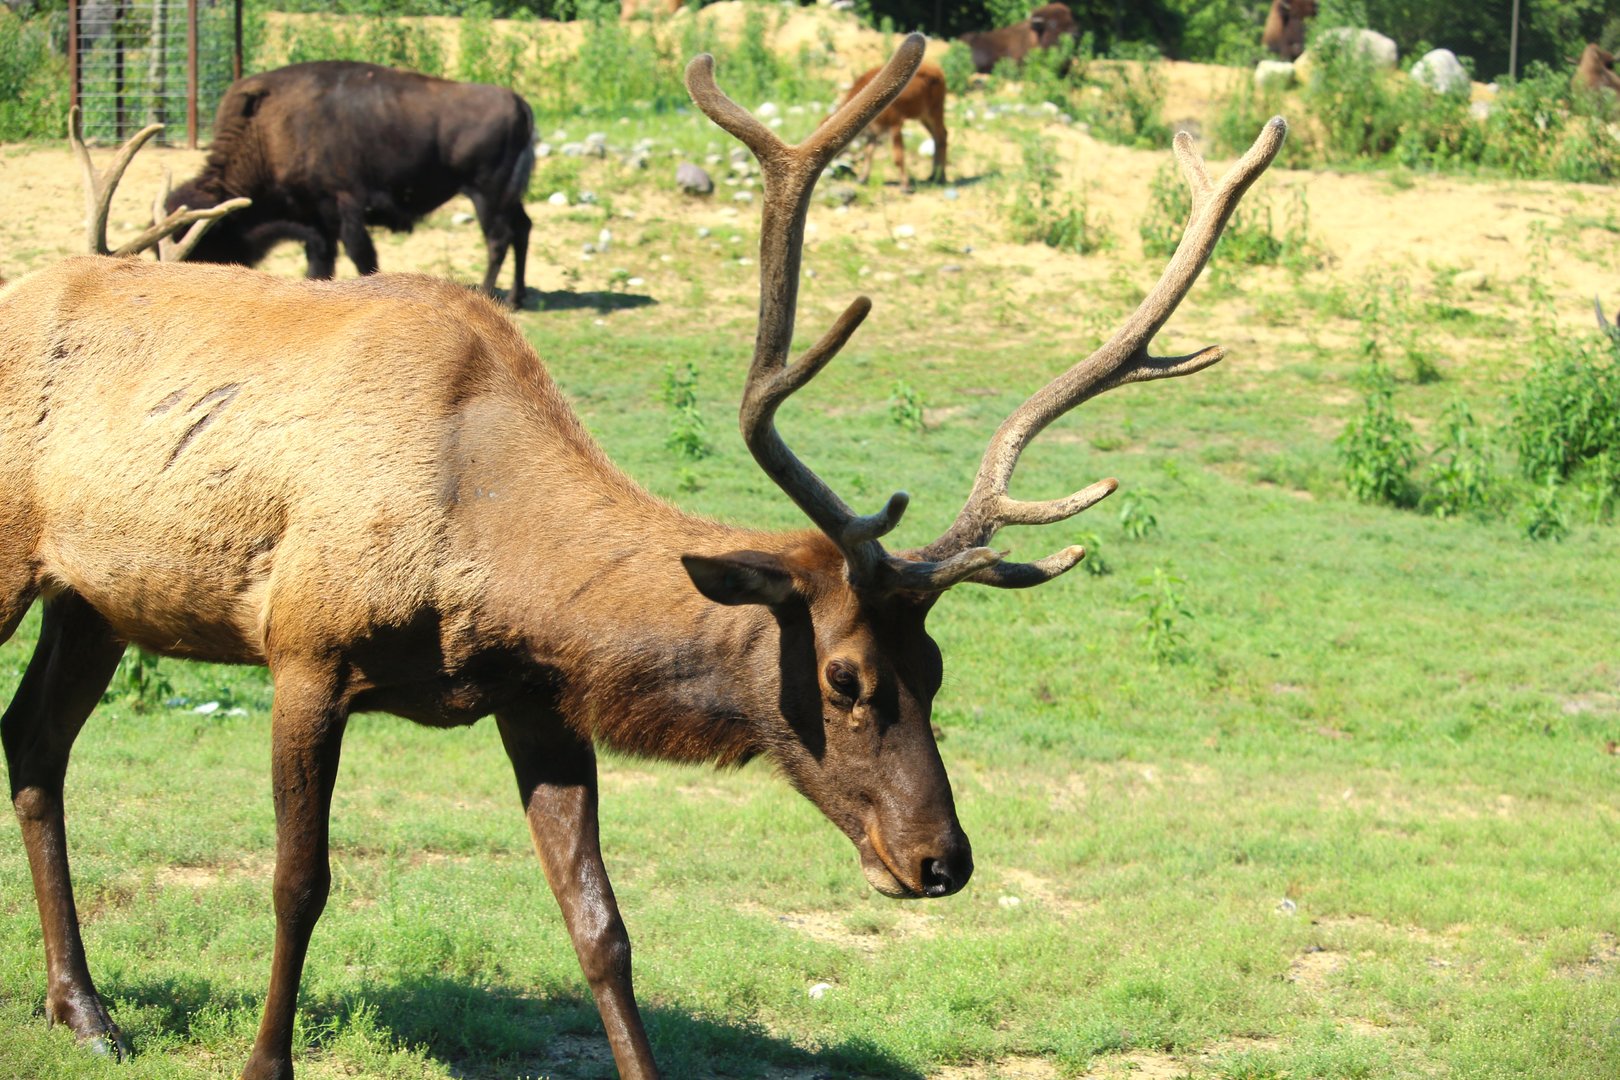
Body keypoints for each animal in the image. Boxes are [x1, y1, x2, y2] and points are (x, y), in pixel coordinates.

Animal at [838, 60, 948, 190]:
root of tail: (937, 70)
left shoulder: (895, 124)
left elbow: (898, 157)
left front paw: (905, 186)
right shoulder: (875, 132)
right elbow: (869, 152)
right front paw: (862, 178)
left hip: (935, 112)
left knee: (941, 137)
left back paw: (940, 178)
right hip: (923, 117)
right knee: (936, 136)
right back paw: (933, 175)